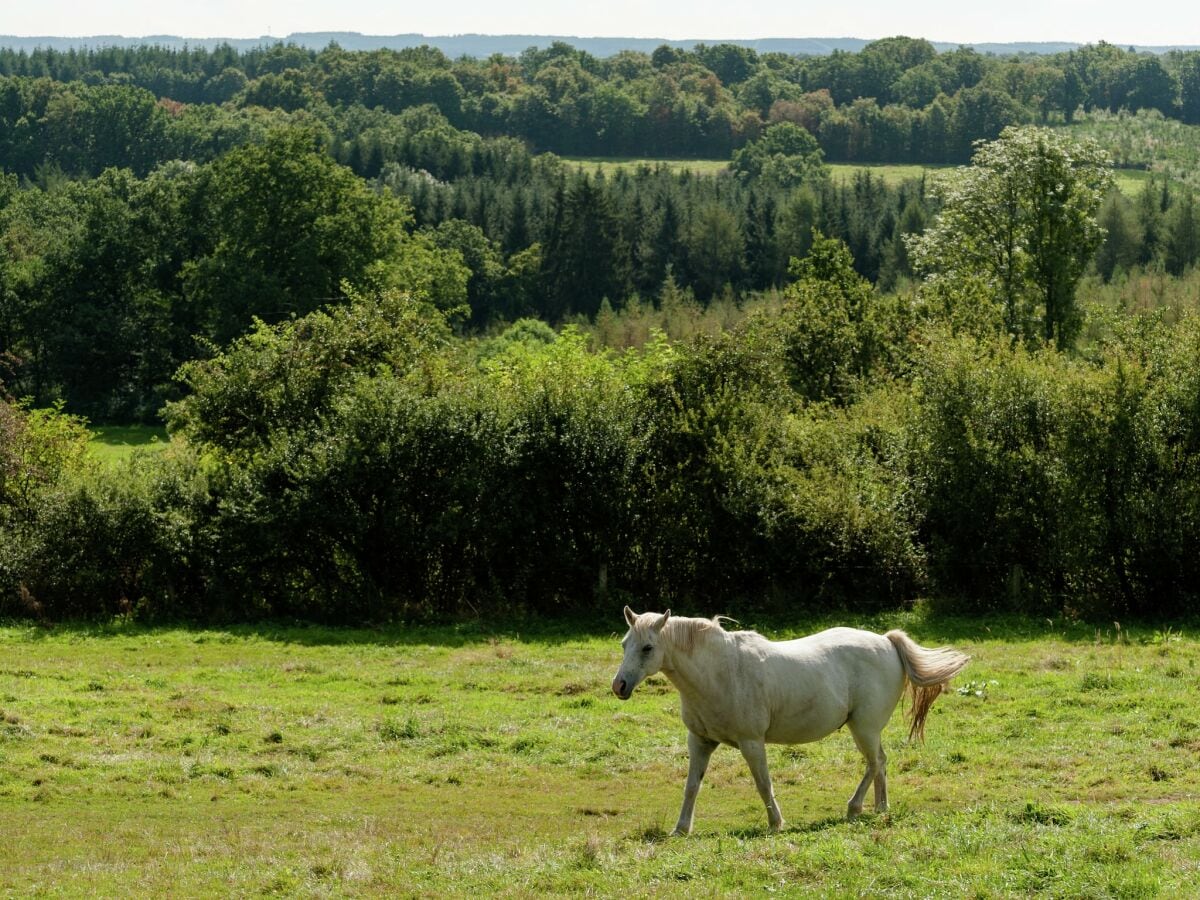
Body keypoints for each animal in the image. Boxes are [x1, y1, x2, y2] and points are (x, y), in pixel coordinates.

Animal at [614, 609, 969, 835]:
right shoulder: (700, 742)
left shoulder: (751, 742)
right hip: (865, 730)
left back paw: (862, 808)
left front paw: (776, 823)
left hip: (864, 728)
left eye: (648, 647)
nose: (619, 686)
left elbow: (763, 783)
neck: (720, 671)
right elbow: (691, 786)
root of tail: (886, 641)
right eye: (624, 644)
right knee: (877, 764)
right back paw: (873, 808)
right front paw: (680, 829)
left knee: (876, 762)